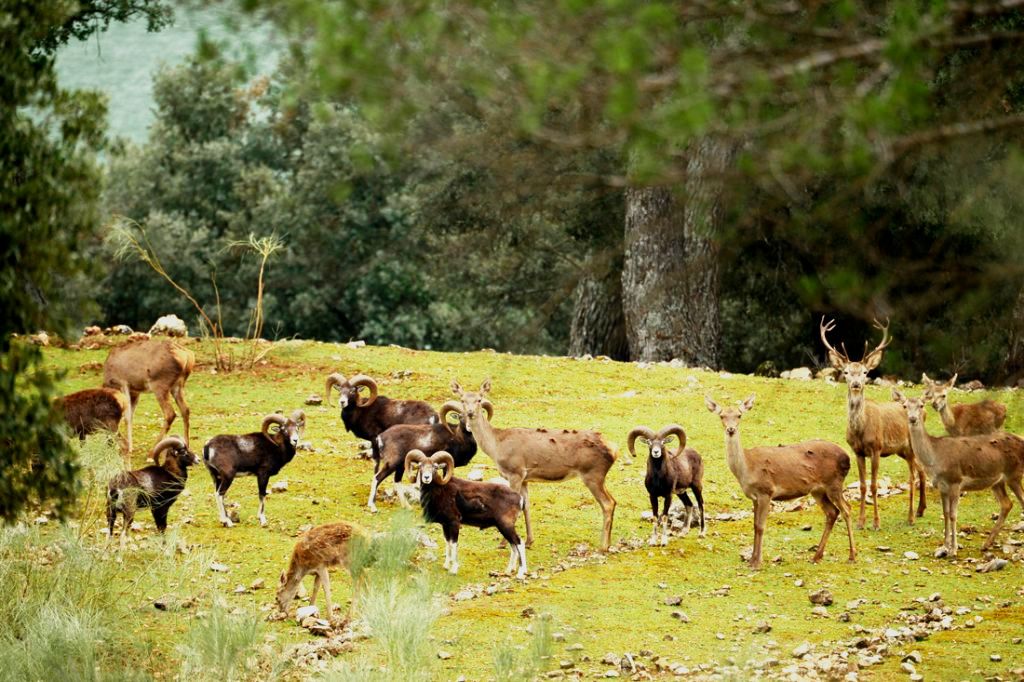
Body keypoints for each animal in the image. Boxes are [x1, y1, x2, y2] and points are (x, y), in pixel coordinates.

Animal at [450, 378, 614, 548]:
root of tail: (613, 449)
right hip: (599, 477)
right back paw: (607, 543)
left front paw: (503, 543)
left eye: (479, 399)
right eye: (462, 399)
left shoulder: (515, 472)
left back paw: (603, 546)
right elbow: (526, 506)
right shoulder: (525, 478)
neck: (496, 446)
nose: (470, 412)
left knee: (608, 503)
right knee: (613, 501)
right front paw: (529, 541)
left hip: (592, 474)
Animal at [704, 393, 856, 569]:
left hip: (834, 483)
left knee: (847, 509)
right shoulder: (754, 497)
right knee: (832, 512)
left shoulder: (766, 491)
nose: (731, 429)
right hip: (818, 490)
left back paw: (852, 556)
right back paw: (816, 556)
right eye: (722, 416)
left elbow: (761, 526)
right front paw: (751, 559)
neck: (746, 468)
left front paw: (757, 562)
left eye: (739, 415)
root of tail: (847, 458)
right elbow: (754, 525)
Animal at [815, 315, 929, 528]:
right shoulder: (857, 452)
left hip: (910, 446)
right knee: (921, 470)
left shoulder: (876, 448)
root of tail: (923, 410)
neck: (860, 430)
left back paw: (911, 516)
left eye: (866, 372)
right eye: (846, 372)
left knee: (913, 476)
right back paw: (920, 510)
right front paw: (860, 522)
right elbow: (862, 486)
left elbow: (874, 485)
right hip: (902, 450)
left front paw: (876, 523)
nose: (856, 384)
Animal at [888, 391, 1024, 557]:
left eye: (921, 405)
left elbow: (953, 515)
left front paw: (953, 549)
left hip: (1014, 474)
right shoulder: (941, 486)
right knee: (1007, 504)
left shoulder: (955, 481)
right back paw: (986, 544)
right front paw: (944, 546)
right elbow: (945, 513)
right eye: (904, 405)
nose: (912, 418)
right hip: (998, 481)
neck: (935, 457)